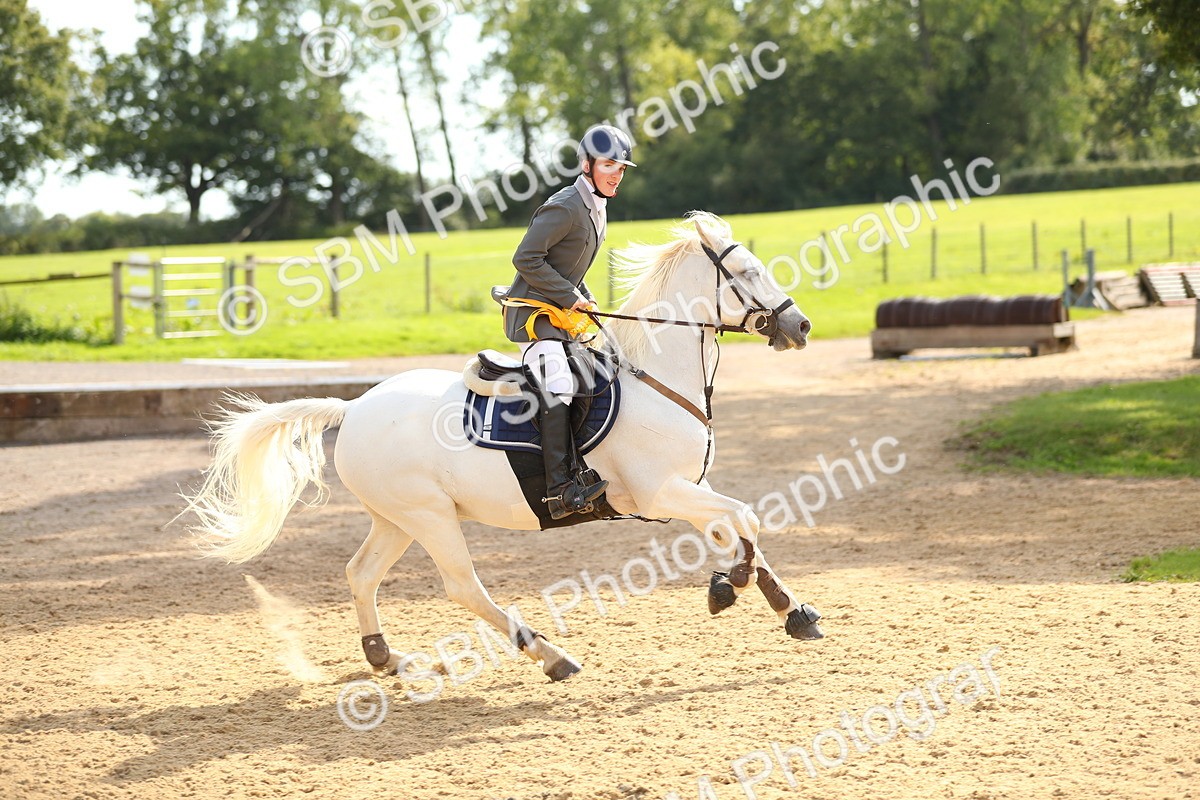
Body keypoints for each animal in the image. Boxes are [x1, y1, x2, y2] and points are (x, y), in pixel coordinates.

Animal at [184, 211, 823, 684]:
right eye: (747, 271)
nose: (801, 327)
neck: (656, 376)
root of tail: (354, 407)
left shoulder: (687, 486)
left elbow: (738, 524)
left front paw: (784, 608)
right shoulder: (657, 490)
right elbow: (744, 519)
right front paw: (732, 586)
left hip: (396, 517)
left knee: (361, 573)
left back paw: (386, 657)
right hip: (430, 516)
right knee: (463, 587)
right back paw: (551, 656)